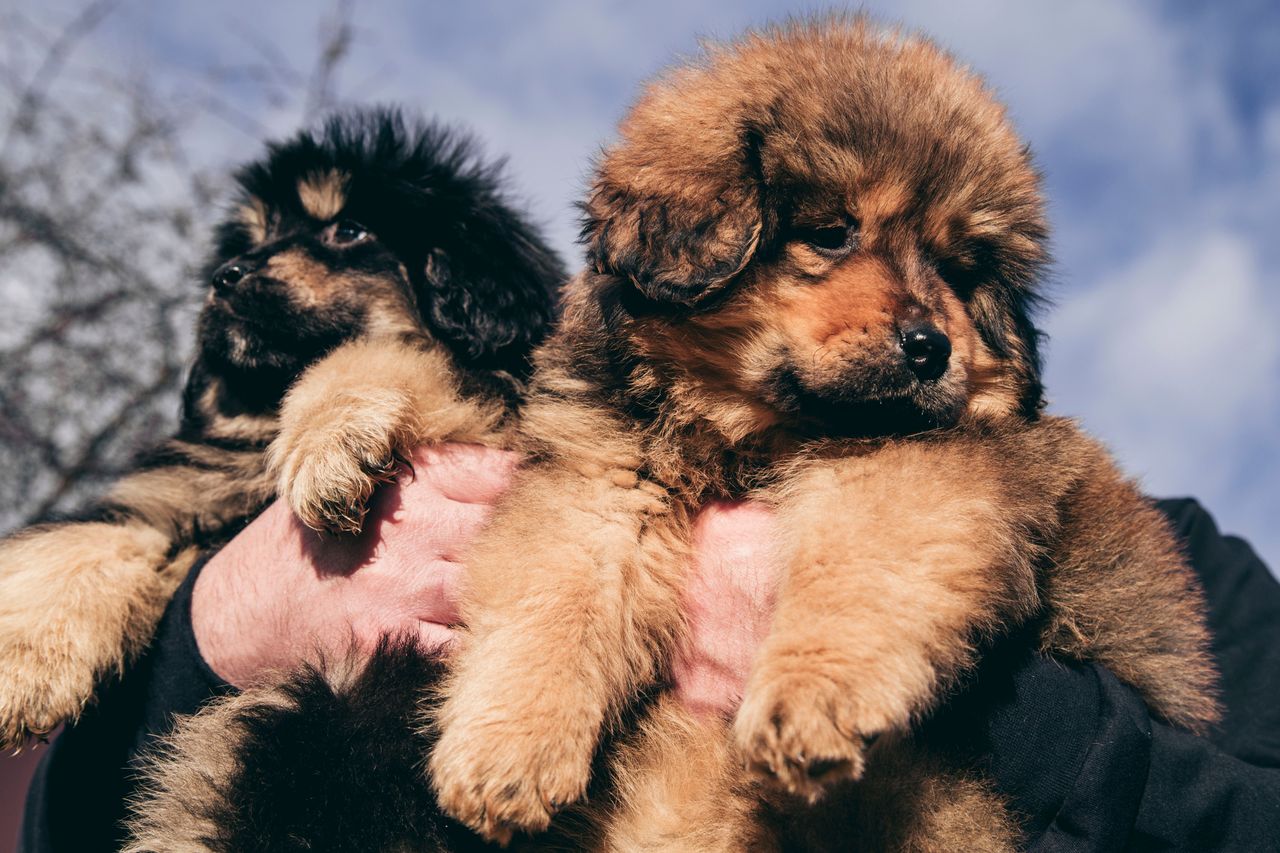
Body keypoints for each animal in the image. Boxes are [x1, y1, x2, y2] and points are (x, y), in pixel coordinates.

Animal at [0, 104, 565, 742]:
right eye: (255, 240)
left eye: (349, 230)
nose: (225, 275)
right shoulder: (170, 501)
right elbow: (85, 539)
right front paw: (25, 661)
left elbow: (371, 353)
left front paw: (329, 449)